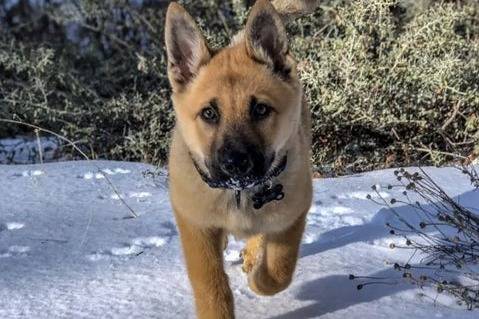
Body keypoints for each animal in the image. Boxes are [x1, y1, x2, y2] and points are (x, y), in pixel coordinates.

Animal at [167, 1, 316, 318]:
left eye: (260, 109)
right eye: (209, 113)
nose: (235, 164)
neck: (239, 194)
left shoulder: (292, 215)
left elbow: (279, 269)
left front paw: (259, 278)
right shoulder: (195, 225)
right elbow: (211, 286)